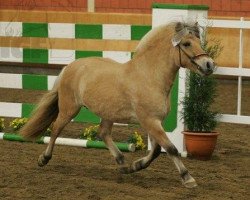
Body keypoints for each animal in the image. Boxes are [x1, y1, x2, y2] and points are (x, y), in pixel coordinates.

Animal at [20, 21, 215, 188]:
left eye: (198, 41)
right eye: (187, 43)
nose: (209, 65)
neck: (149, 76)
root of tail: (70, 66)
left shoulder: (153, 122)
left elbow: (157, 150)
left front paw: (135, 166)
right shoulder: (150, 121)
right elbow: (171, 148)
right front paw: (188, 178)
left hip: (108, 114)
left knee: (103, 133)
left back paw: (122, 163)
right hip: (69, 109)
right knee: (55, 129)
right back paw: (44, 159)